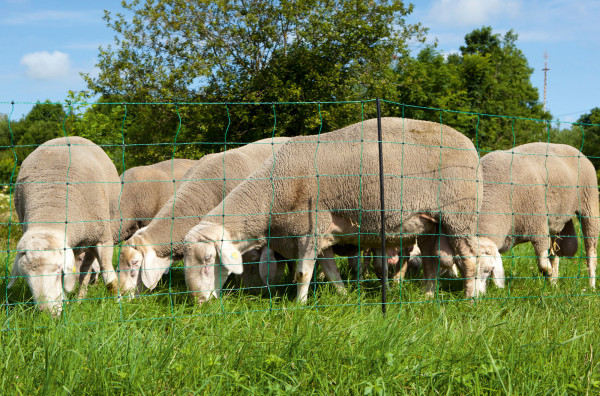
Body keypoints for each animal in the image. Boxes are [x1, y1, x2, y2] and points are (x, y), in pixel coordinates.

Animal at [8, 137, 121, 316]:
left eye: (58, 271)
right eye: (25, 277)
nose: (47, 313)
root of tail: (66, 137)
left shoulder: (103, 238)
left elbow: (109, 278)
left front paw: (119, 305)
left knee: (86, 272)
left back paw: (80, 298)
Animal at [182, 116, 482, 304]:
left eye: (208, 260)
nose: (200, 302)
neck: (272, 193)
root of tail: (468, 143)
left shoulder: (308, 230)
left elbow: (303, 273)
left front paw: (298, 306)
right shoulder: (321, 234)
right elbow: (330, 269)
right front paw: (344, 295)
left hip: (460, 217)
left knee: (469, 259)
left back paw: (470, 299)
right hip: (432, 224)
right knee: (432, 262)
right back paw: (427, 296)